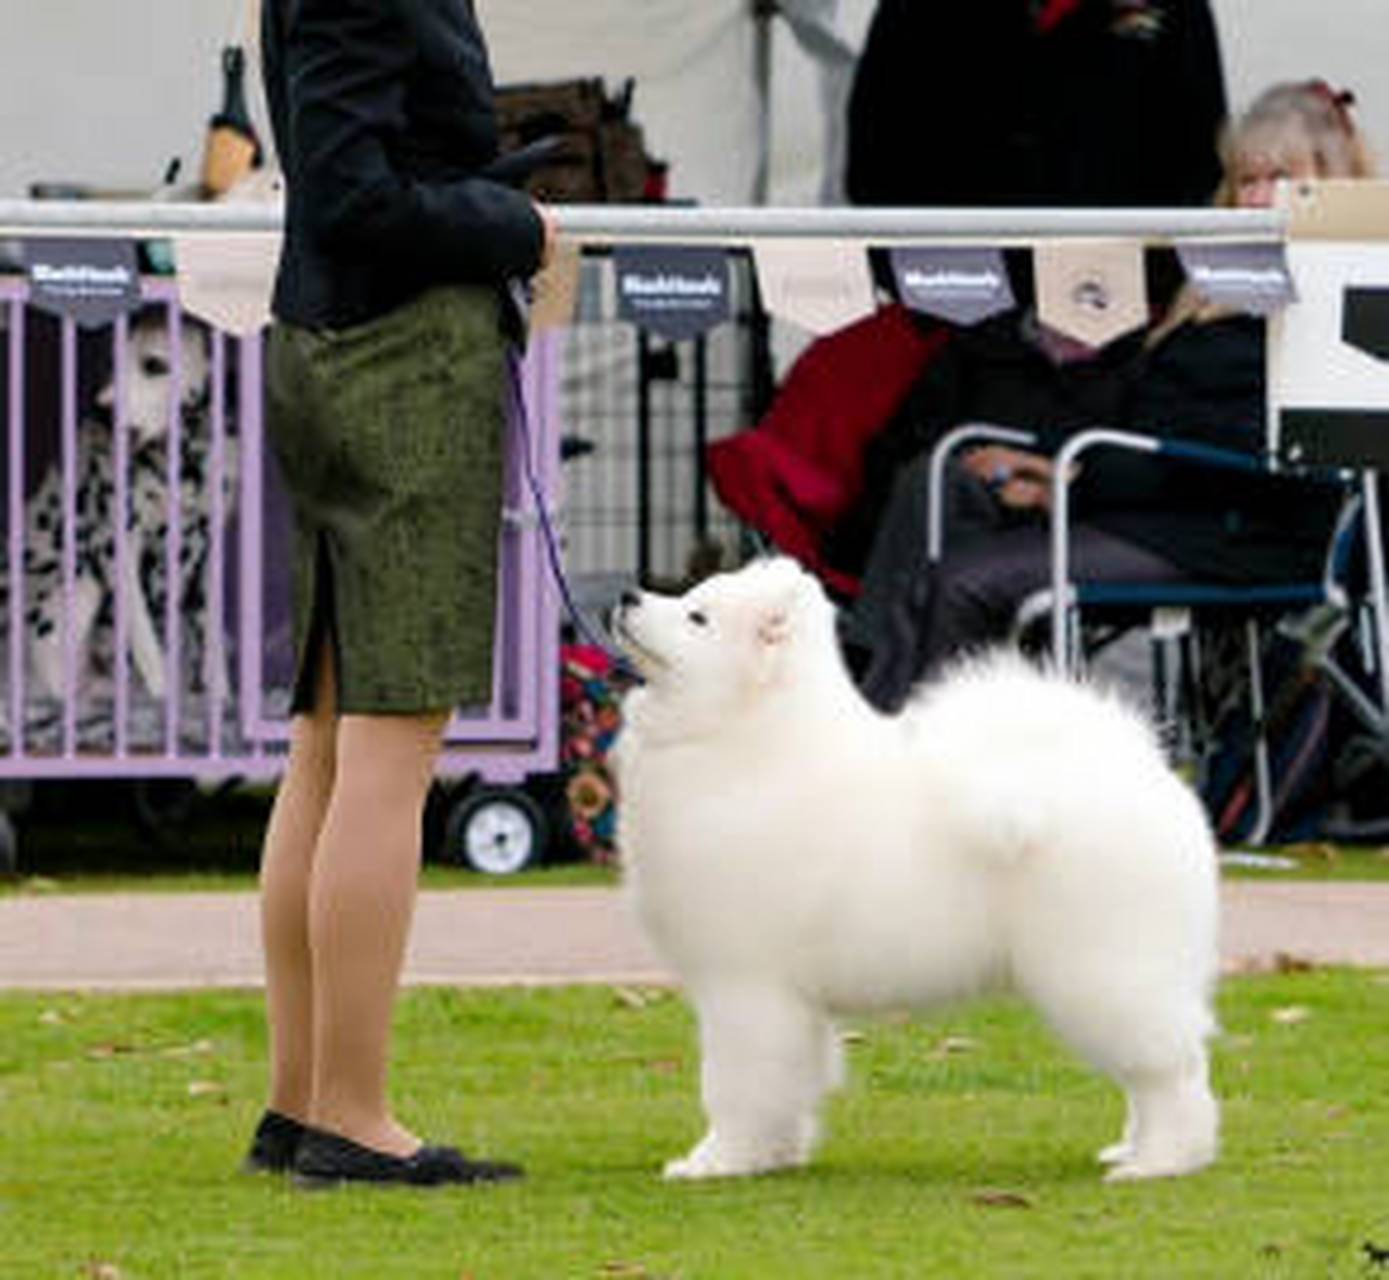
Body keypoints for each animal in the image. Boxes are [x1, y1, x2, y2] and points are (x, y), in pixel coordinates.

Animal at [4, 313, 238, 702]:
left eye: (154, 365)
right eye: (113, 363)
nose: (100, 409)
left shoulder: (206, 559)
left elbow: (213, 646)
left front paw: (219, 695)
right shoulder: (117, 550)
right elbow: (146, 643)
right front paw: (163, 698)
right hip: (80, 579)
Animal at [613, 552, 1222, 1182]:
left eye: (697, 616)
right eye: (689, 596)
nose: (628, 595)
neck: (746, 737)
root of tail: (1143, 771)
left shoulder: (745, 985)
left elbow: (736, 1085)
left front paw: (718, 1160)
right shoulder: (791, 1003)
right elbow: (789, 1085)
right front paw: (776, 1154)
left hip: (1103, 970)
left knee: (1171, 1072)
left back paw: (1161, 1160)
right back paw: (1130, 1148)